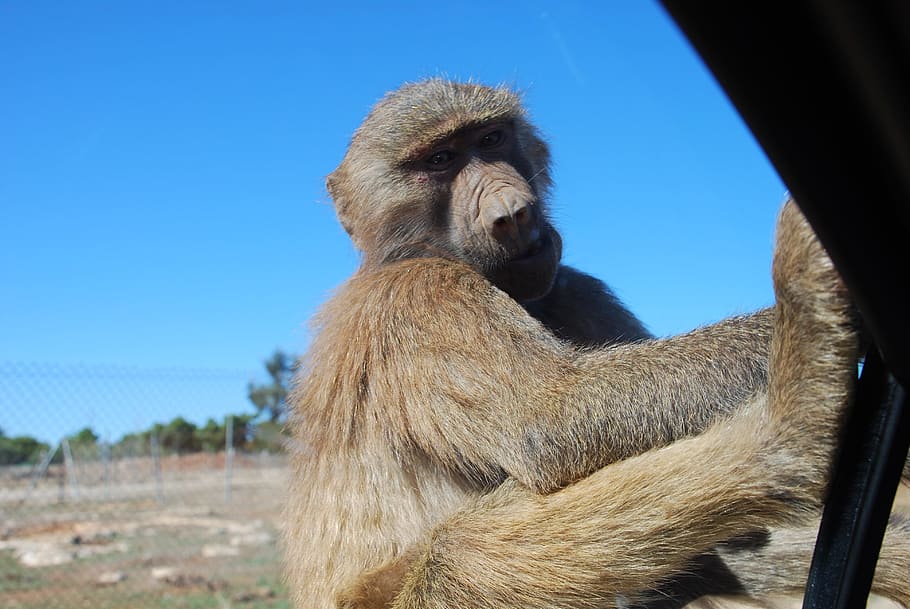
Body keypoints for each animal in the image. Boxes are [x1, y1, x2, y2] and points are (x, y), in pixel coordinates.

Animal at [283, 79, 910, 609]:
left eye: (491, 139)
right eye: (440, 160)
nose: (514, 214)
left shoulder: (572, 285)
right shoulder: (421, 297)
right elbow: (550, 420)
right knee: (457, 554)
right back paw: (794, 428)